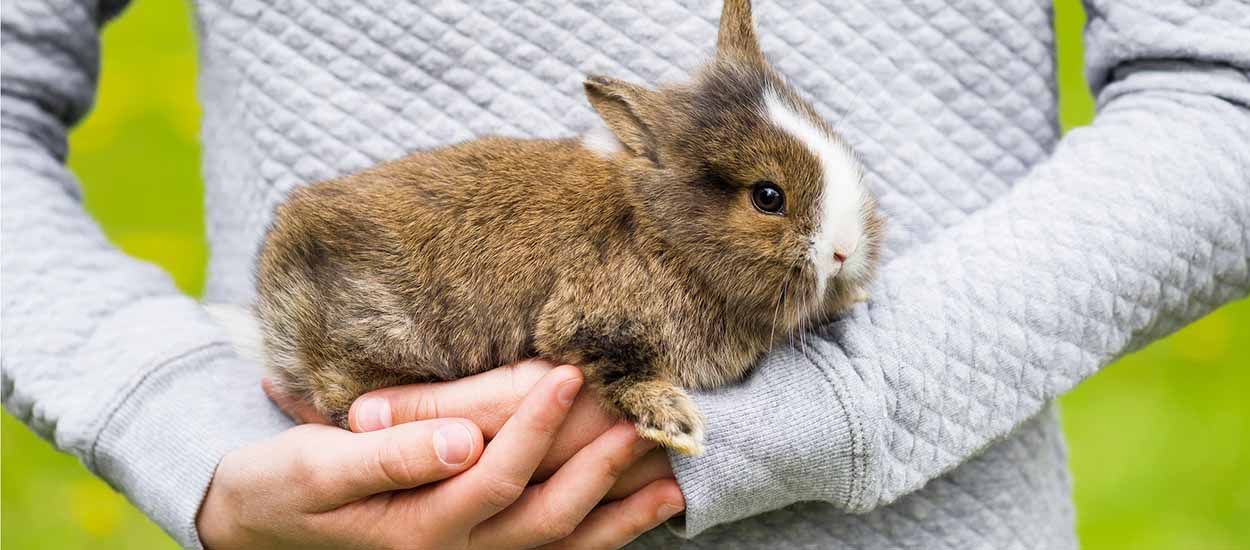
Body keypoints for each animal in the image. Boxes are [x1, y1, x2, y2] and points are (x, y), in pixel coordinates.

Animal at [235, 0, 885, 455]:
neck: (662, 234)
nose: (845, 251)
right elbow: (621, 369)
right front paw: (676, 427)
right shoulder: (590, 322)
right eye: (768, 197)